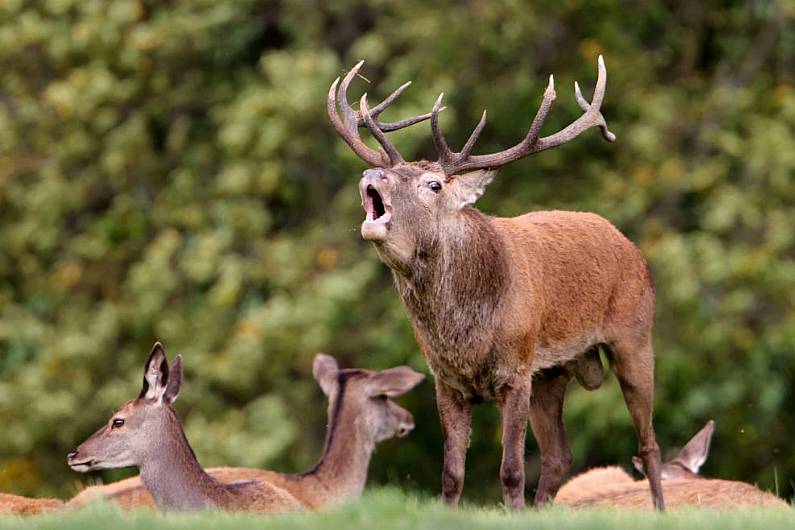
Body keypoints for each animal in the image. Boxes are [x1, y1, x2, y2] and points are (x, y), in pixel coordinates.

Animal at [326, 57, 668, 508]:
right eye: (392, 172)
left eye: (433, 184)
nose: (372, 174)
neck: (465, 336)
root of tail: (631, 247)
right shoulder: (446, 380)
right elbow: (452, 473)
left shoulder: (516, 370)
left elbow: (511, 470)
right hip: (552, 372)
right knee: (559, 454)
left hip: (634, 336)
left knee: (648, 444)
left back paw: (660, 509)